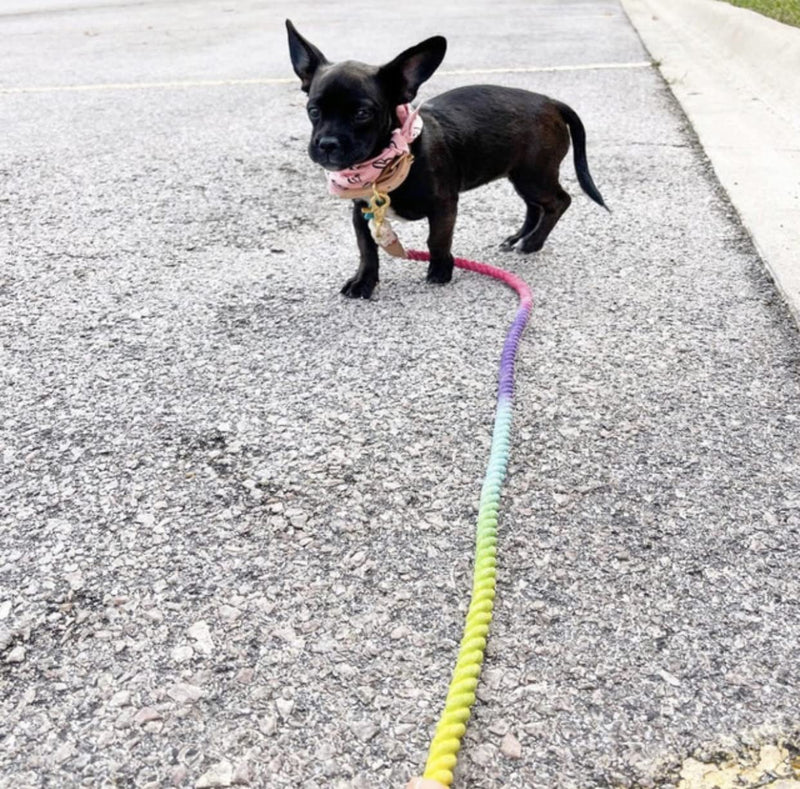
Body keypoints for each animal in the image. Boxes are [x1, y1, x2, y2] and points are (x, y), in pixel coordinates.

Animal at [288, 21, 608, 300]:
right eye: (313, 110)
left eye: (362, 114)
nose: (327, 144)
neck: (390, 161)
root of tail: (551, 102)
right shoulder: (362, 212)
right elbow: (367, 250)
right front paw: (363, 282)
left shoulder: (444, 205)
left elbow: (437, 240)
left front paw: (441, 270)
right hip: (522, 175)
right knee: (534, 206)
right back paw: (519, 238)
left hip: (534, 175)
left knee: (558, 202)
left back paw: (531, 243)